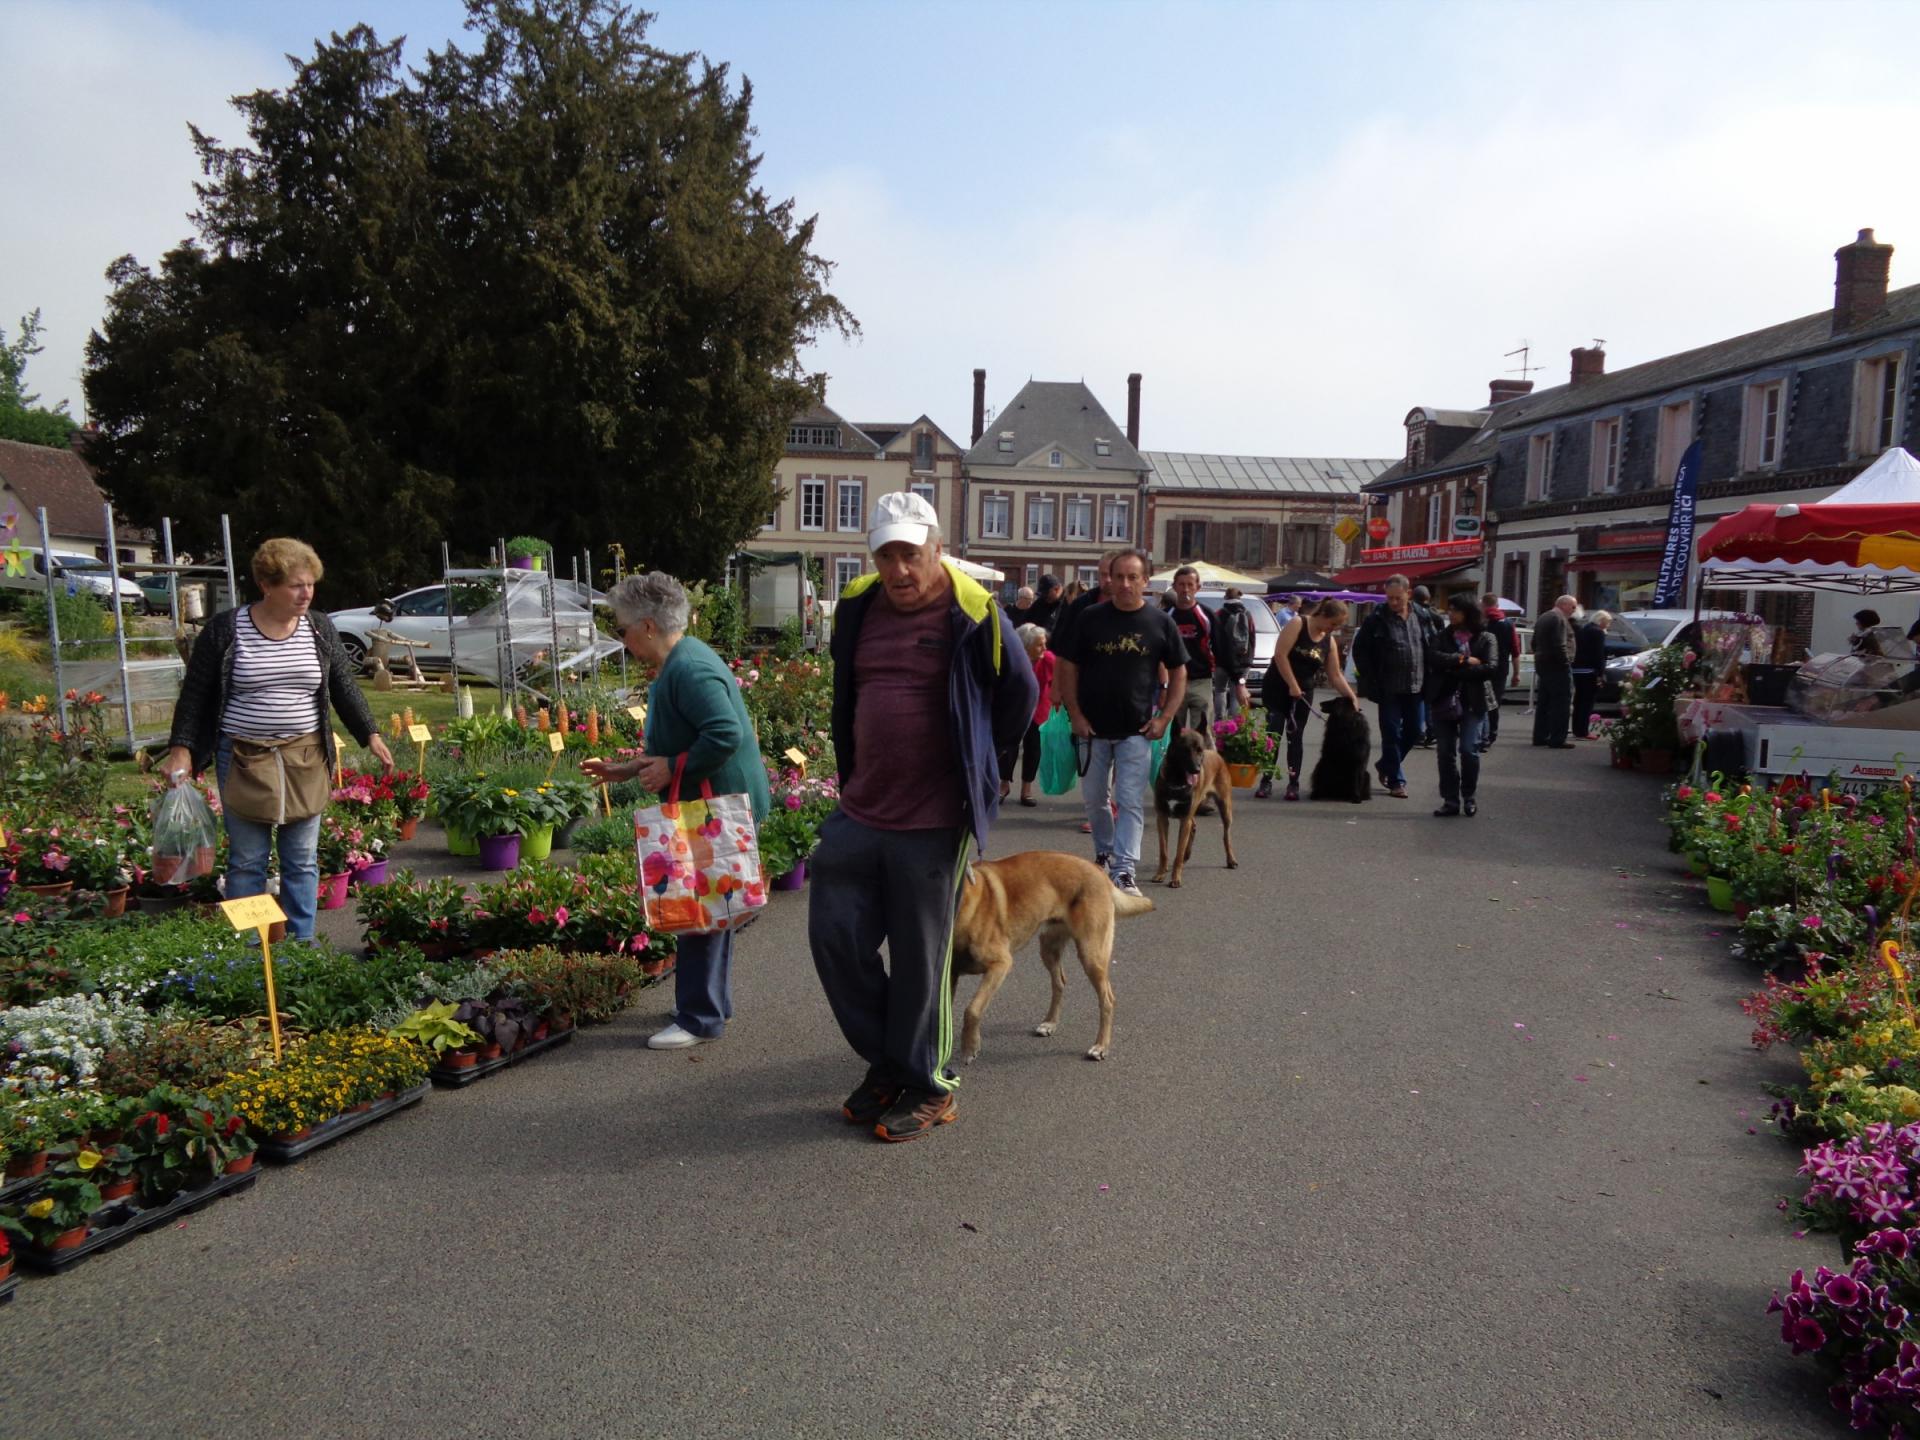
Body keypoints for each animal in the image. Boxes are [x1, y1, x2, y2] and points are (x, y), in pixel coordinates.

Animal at [948, 852, 1144, 1067]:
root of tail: (1099, 871)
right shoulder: (950, 976)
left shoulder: (1000, 965)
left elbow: (972, 1009)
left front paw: (970, 1048)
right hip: (1049, 948)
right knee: (1059, 982)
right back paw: (1050, 1023)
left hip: (1091, 954)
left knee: (1107, 999)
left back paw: (1101, 1046)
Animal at [1144, 721, 1236, 890]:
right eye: (1185, 750)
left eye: (1199, 750)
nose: (1197, 770)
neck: (1177, 780)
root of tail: (1215, 754)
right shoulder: (1162, 818)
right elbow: (1164, 851)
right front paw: (1160, 873)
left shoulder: (1184, 819)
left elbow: (1178, 854)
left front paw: (1176, 878)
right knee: (1194, 825)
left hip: (1225, 808)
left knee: (1226, 835)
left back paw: (1231, 860)